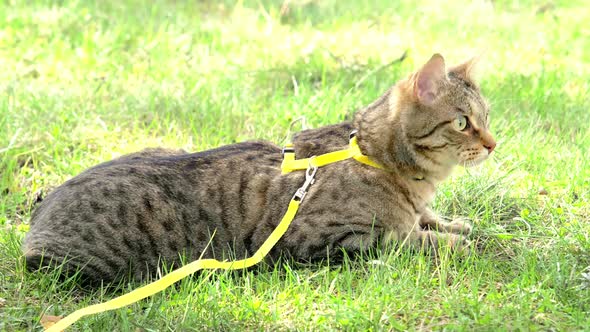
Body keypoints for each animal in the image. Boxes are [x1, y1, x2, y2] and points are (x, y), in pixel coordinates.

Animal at [22, 53, 494, 284]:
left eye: (486, 117)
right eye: (462, 123)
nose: (492, 143)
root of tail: (39, 213)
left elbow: (431, 220)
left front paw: (453, 224)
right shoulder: (328, 238)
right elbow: (406, 240)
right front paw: (453, 243)